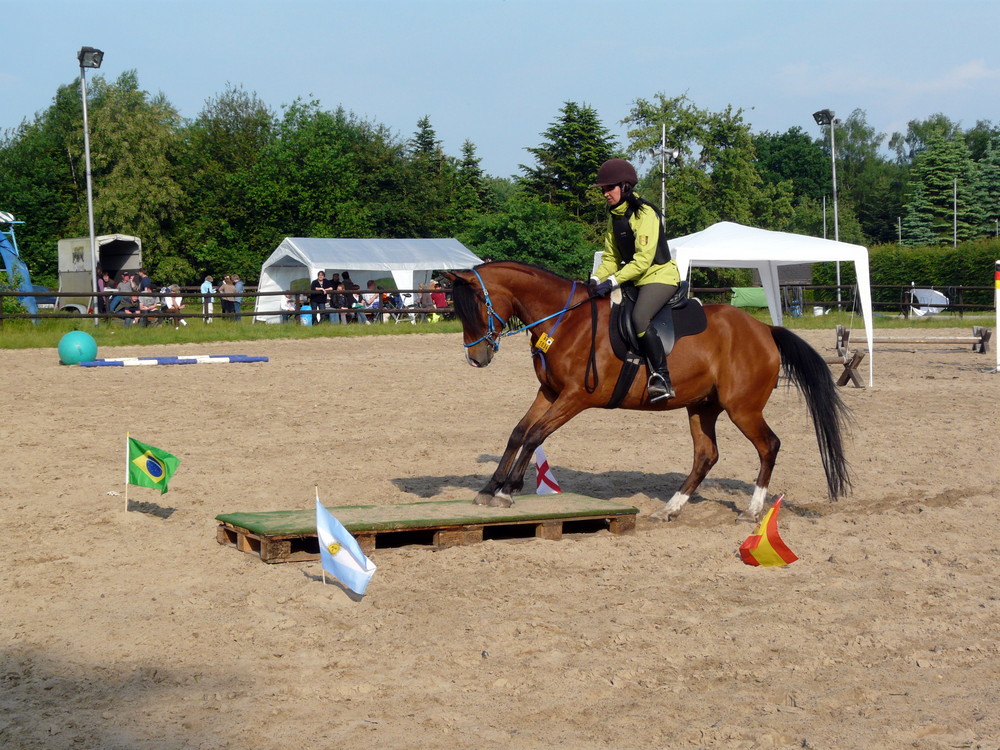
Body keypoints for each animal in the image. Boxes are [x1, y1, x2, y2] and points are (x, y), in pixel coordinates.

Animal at [446, 260, 852, 524]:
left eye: (477, 306)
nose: (476, 358)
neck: (565, 321)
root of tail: (764, 330)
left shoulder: (577, 397)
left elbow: (534, 434)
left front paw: (507, 490)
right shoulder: (549, 392)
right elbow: (518, 432)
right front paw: (491, 487)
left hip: (743, 408)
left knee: (768, 446)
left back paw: (752, 511)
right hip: (703, 407)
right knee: (706, 455)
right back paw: (669, 509)